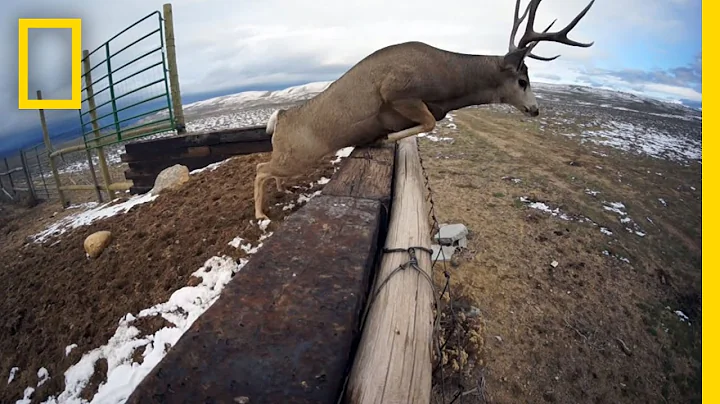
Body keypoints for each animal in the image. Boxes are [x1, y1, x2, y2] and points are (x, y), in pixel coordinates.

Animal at [254, 0, 596, 220]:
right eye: (523, 80)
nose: (535, 110)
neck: (449, 82)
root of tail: (279, 120)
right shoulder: (397, 91)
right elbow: (429, 123)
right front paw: (382, 138)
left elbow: (429, 124)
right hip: (299, 155)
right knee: (260, 169)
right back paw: (261, 214)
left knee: (269, 172)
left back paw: (281, 192)